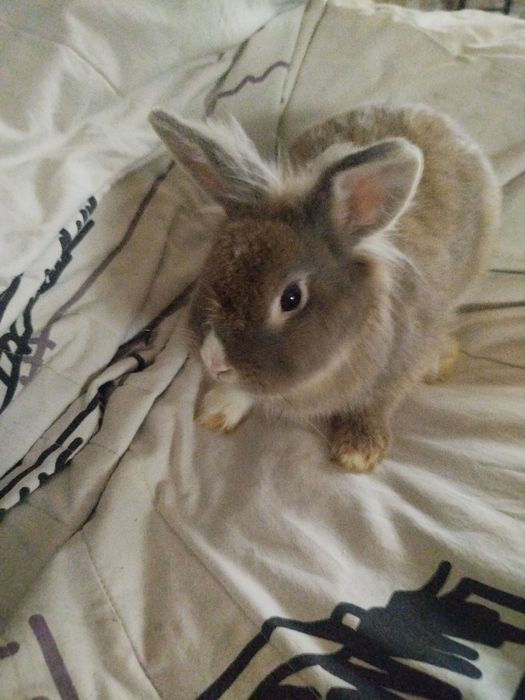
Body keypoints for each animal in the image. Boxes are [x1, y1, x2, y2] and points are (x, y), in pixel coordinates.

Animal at [149, 104, 500, 472]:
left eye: (291, 298)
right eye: (211, 261)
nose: (214, 362)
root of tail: (434, 117)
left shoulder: (401, 362)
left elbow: (378, 401)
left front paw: (359, 450)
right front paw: (217, 410)